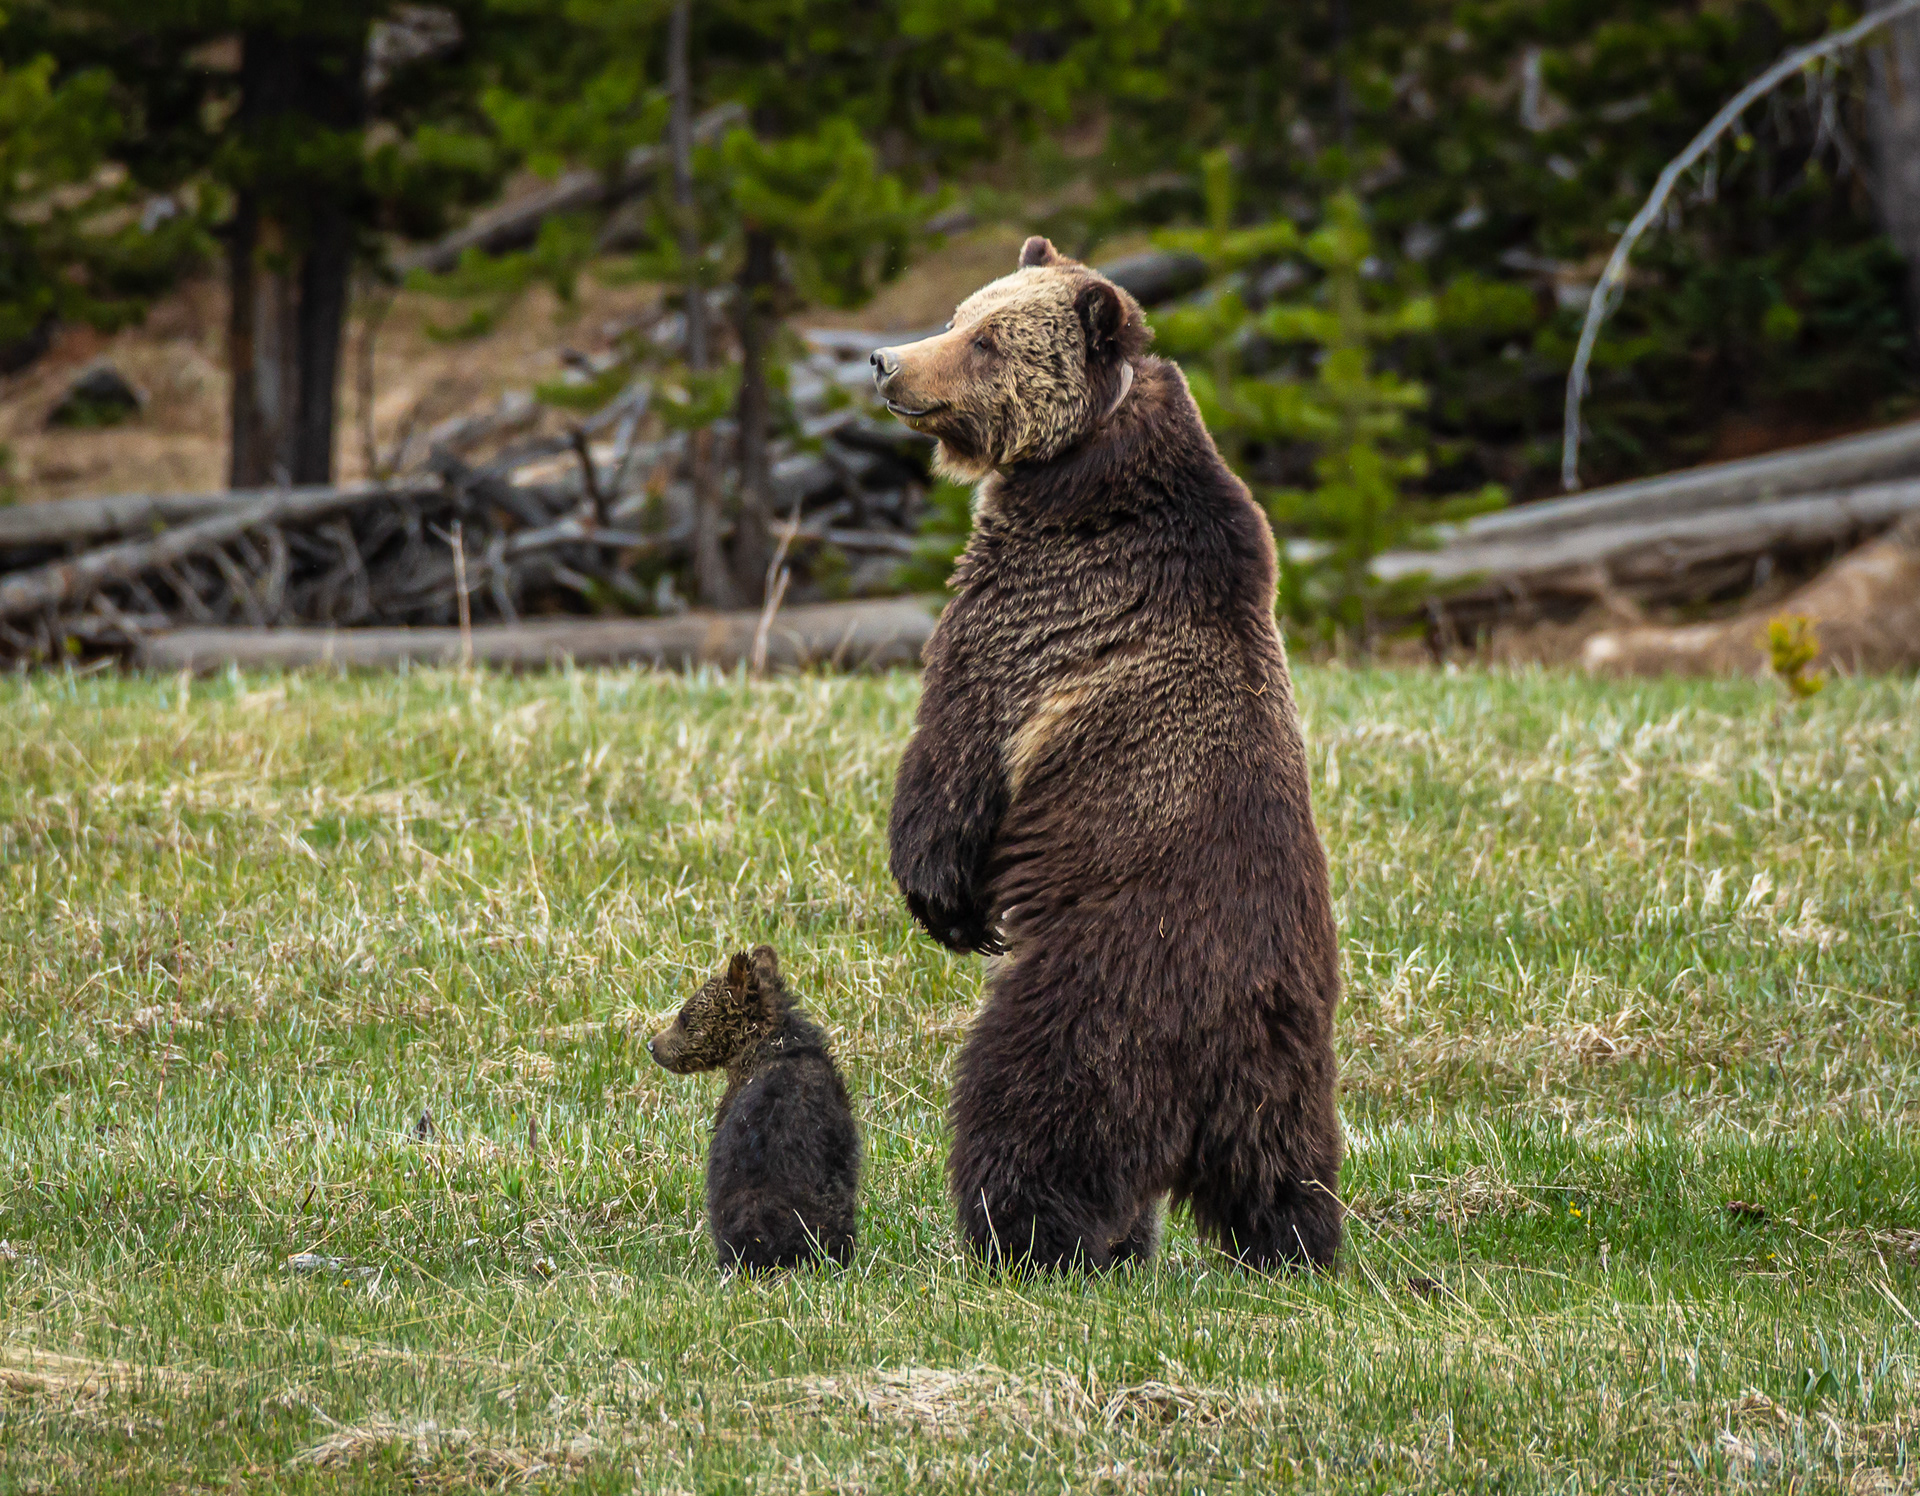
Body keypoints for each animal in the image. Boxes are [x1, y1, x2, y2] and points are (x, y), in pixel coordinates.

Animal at [870, 235, 1343, 1272]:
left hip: (1100, 996)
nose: (884, 360)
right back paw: (1293, 1242)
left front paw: (942, 900)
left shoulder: (1036, 606)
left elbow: (957, 744)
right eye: (962, 313)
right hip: (1293, 1049)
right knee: (1287, 1159)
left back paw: (1032, 1237)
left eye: (987, 337)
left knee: (1036, 1106)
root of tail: (1232, 1022)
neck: (1085, 466)